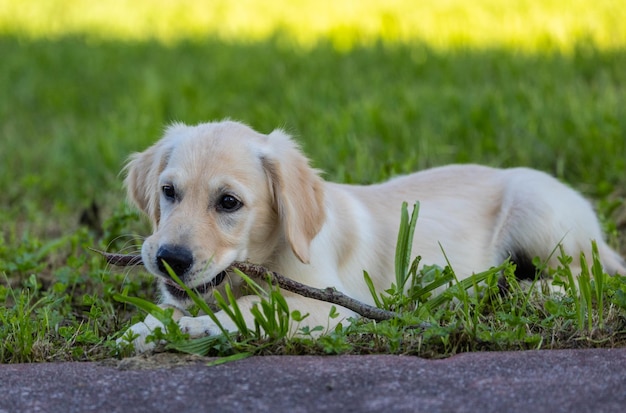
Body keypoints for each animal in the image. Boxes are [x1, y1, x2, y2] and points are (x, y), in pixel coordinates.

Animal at [116, 118, 620, 350]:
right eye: (168, 192)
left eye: (228, 203)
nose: (168, 258)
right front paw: (155, 323)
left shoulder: (328, 306)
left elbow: (248, 310)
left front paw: (173, 328)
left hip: (539, 212)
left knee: (583, 276)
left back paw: (520, 291)